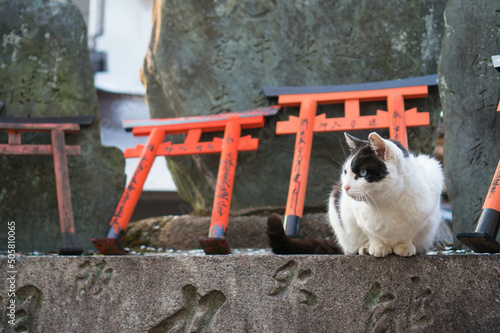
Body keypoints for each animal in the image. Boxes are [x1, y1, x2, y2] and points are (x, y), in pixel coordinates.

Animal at [268, 131, 444, 255]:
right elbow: (372, 233)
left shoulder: (423, 215)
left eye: (363, 173)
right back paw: (364, 248)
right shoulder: (357, 215)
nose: (345, 187)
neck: (387, 201)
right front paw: (377, 247)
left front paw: (405, 247)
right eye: (345, 172)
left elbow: (409, 233)